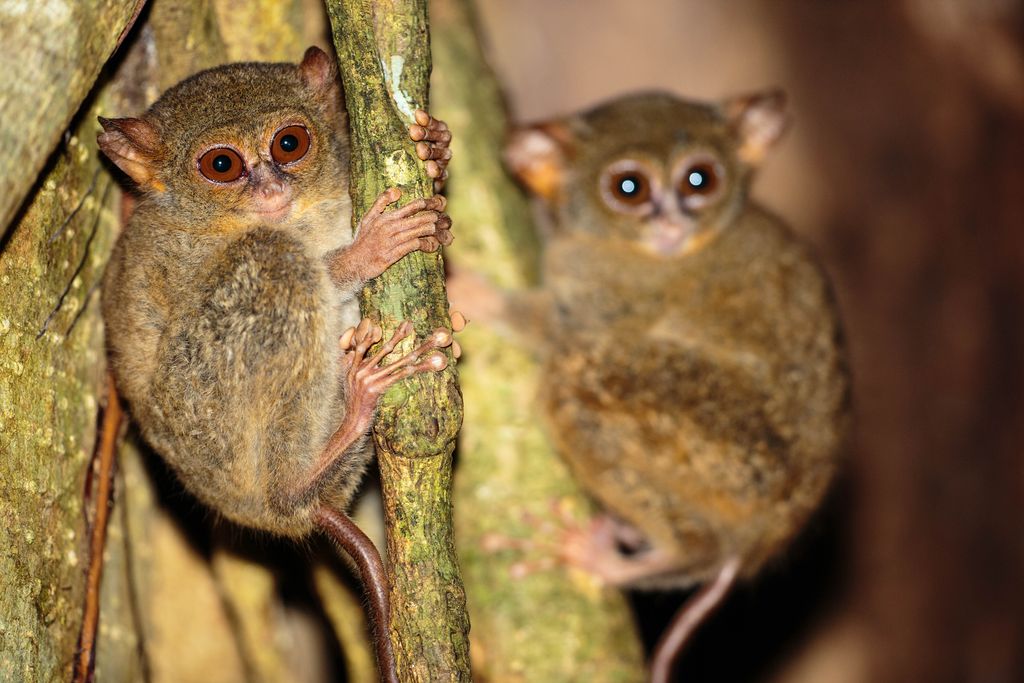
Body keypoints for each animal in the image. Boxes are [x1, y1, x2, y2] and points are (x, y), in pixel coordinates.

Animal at [97, 46, 457, 683]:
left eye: (290, 144)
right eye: (221, 165)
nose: (269, 187)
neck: (302, 213)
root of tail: (255, 513)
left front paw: (435, 148)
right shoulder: (183, 257)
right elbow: (305, 263)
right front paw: (369, 249)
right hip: (204, 413)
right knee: (275, 258)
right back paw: (332, 439)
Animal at [449, 90, 848, 682]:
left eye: (700, 180)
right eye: (630, 190)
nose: (673, 221)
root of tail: (768, 535)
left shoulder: (603, 283)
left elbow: (557, 328)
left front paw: (474, 296)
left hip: (737, 461)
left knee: (573, 372)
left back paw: (647, 555)